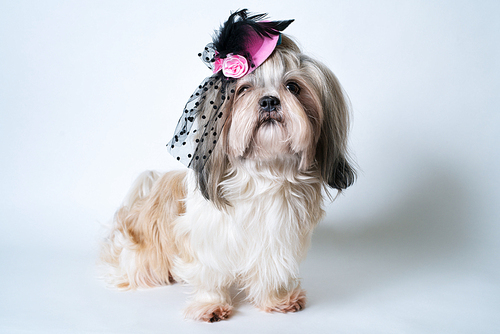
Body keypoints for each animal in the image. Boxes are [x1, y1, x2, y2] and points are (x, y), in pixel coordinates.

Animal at [99, 10, 354, 322]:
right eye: (243, 89)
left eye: (293, 87)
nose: (269, 101)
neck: (264, 172)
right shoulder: (206, 237)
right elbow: (209, 274)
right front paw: (210, 305)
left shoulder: (277, 237)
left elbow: (271, 269)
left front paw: (276, 299)